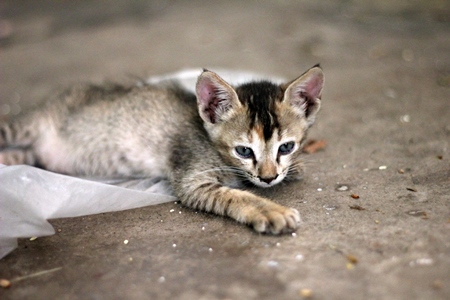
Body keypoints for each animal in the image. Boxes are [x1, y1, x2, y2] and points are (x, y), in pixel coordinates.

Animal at [0, 65, 324, 234]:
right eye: (244, 151)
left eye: (286, 146)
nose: (269, 178)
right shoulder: (192, 180)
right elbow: (235, 195)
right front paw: (271, 211)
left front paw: (293, 168)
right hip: (23, 126)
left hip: (32, 154)